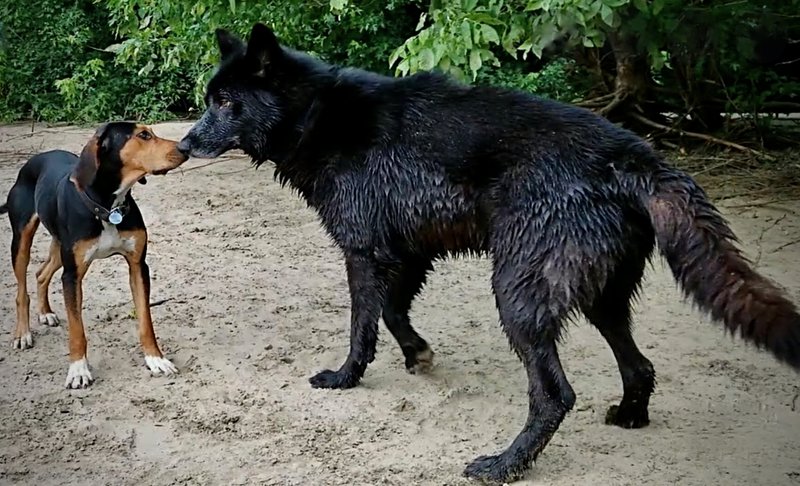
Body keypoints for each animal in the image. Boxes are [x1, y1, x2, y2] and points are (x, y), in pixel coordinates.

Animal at [0, 121, 188, 388]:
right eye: (143, 135)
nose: (184, 148)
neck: (108, 207)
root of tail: (35, 159)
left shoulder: (138, 265)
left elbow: (145, 320)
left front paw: (155, 359)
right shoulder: (72, 275)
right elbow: (77, 329)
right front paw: (78, 370)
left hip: (60, 247)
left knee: (41, 273)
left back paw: (45, 313)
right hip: (22, 240)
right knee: (21, 289)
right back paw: (23, 333)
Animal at [178, 23, 800, 486]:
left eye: (226, 102)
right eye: (209, 101)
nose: (183, 144)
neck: (318, 115)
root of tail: (635, 155)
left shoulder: (363, 252)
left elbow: (362, 326)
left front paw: (345, 378)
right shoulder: (408, 254)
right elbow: (394, 312)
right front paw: (419, 354)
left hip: (517, 295)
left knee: (555, 395)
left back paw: (504, 465)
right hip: (599, 298)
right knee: (640, 366)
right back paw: (628, 416)